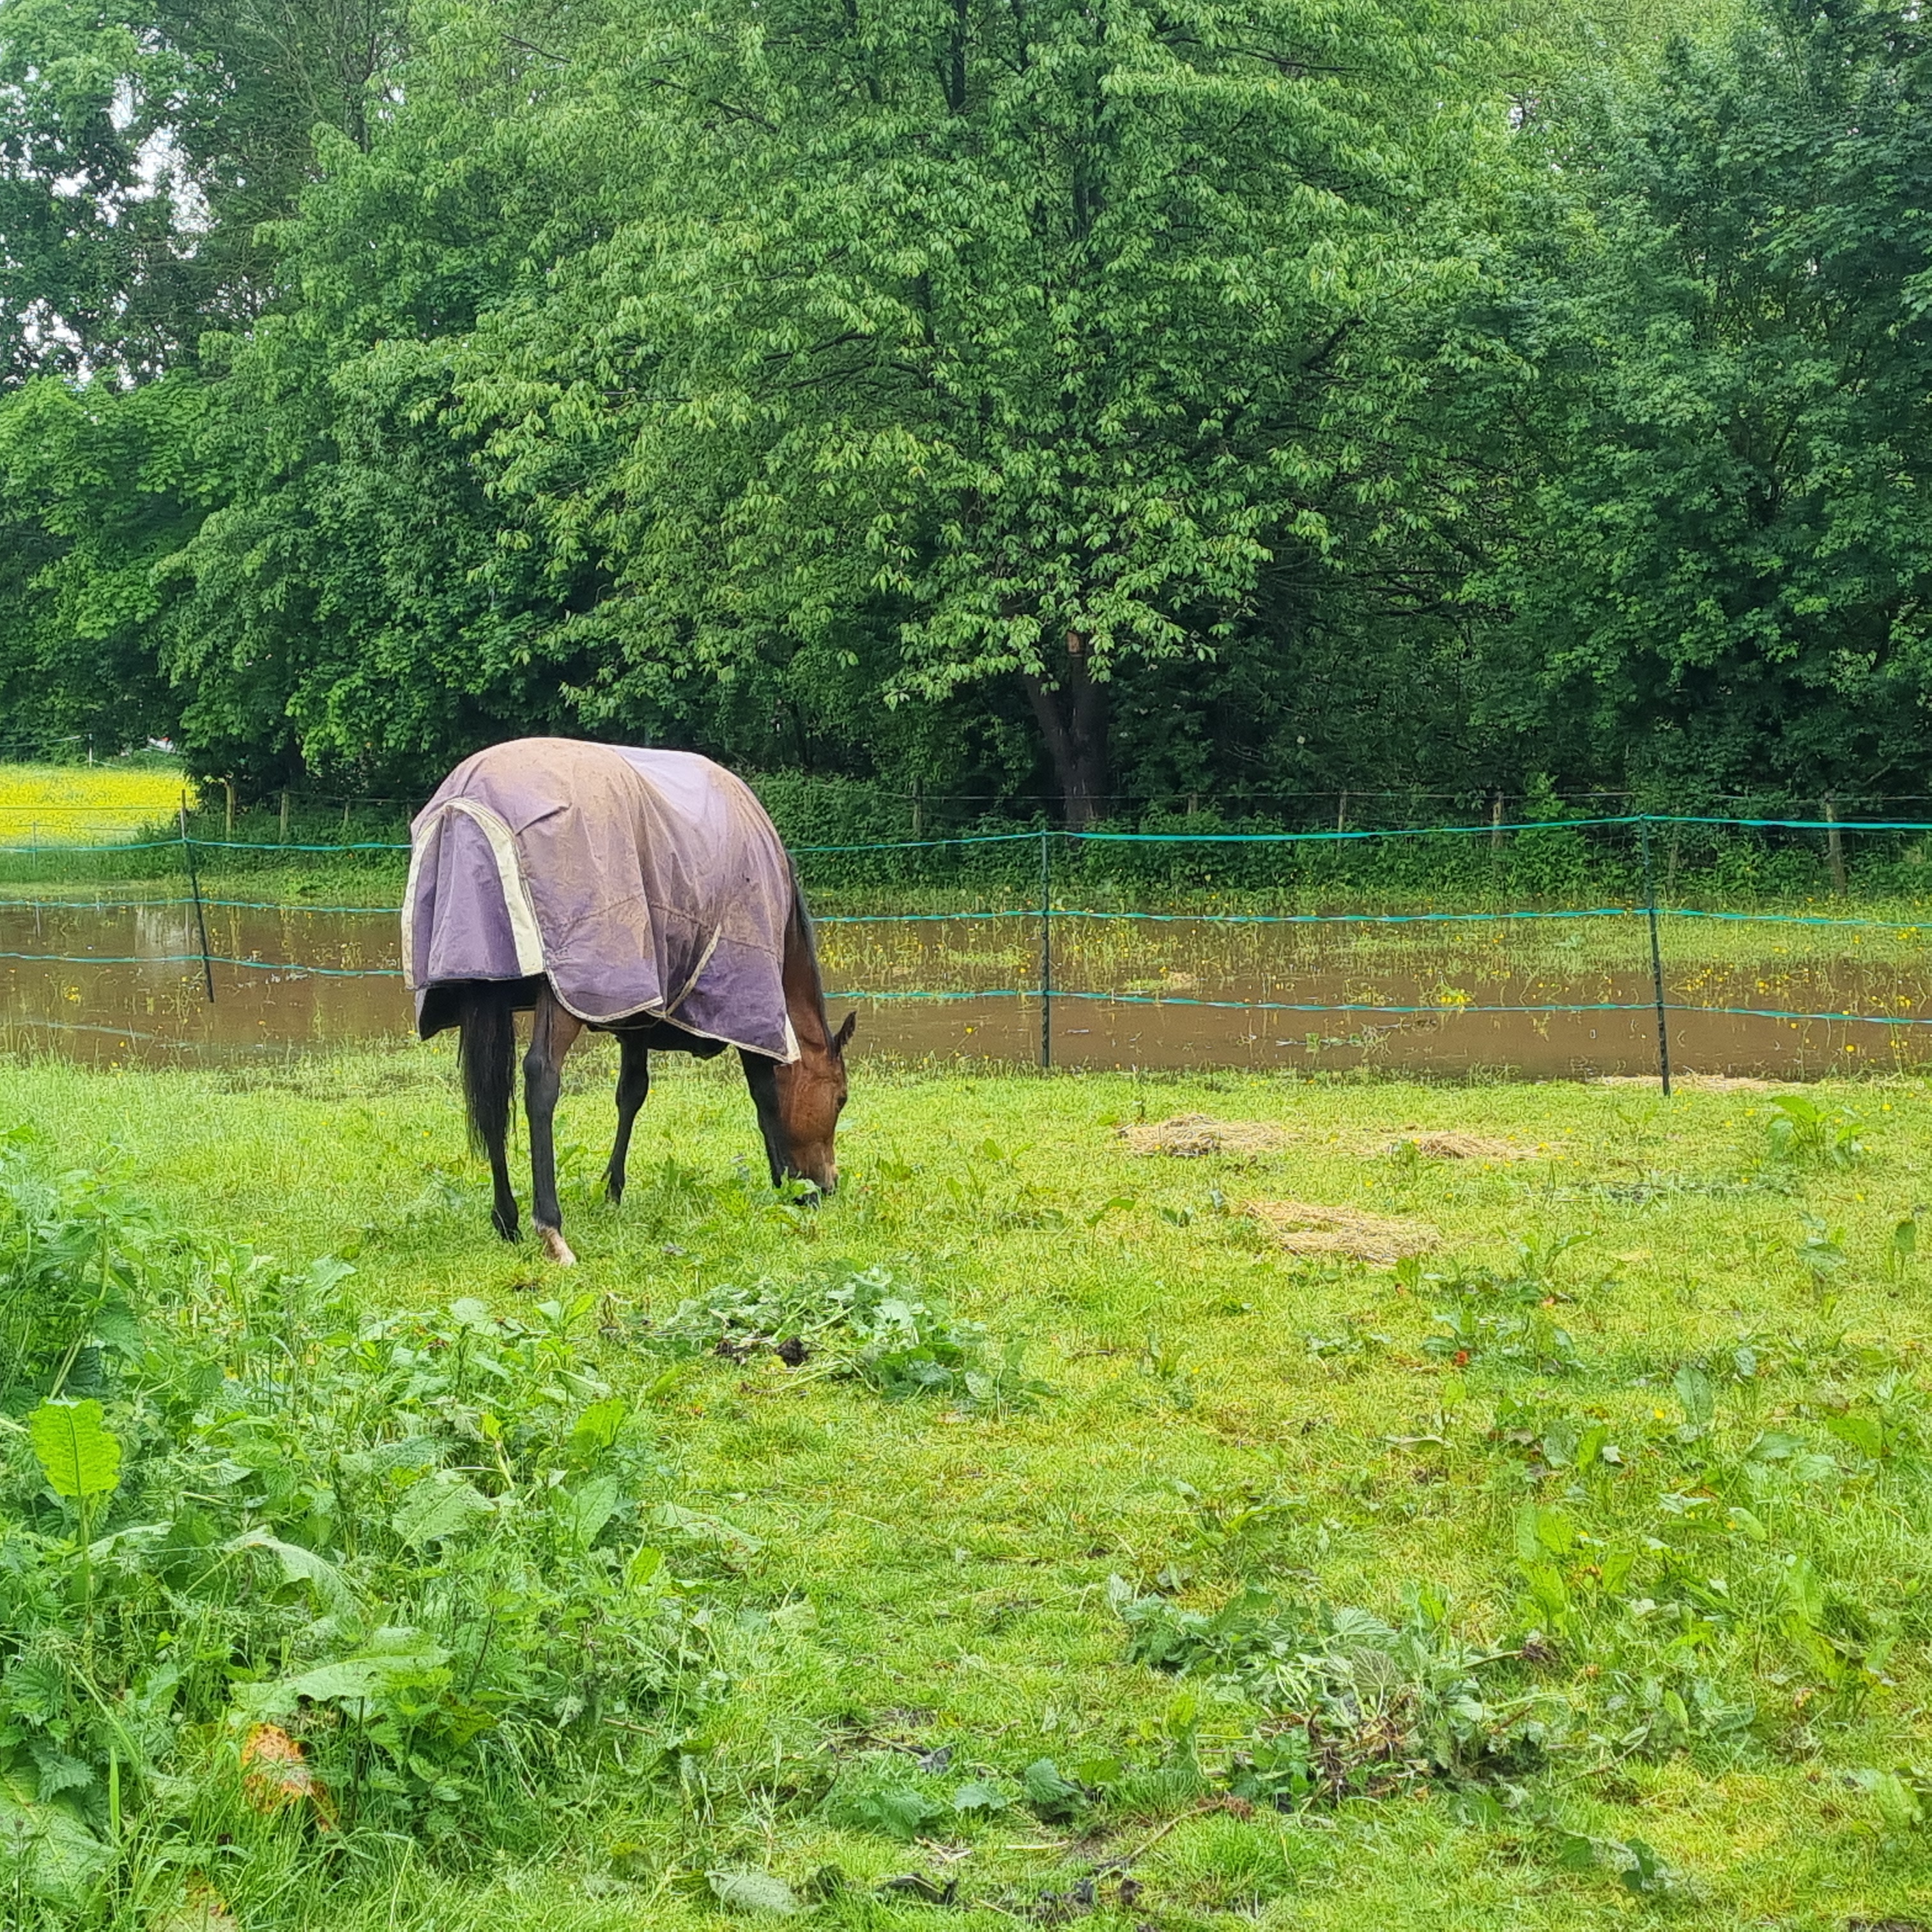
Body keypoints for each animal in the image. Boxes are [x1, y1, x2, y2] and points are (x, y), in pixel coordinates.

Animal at [404, 730, 857, 1259]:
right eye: (841, 1098)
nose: (827, 1185)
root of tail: (469, 802)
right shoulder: (750, 1005)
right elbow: (765, 1096)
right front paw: (782, 1183)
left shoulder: (635, 1015)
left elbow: (631, 1094)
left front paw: (613, 1189)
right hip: (565, 990)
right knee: (541, 1079)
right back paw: (550, 1226)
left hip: (482, 983)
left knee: (492, 1093)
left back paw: (507, 1219)